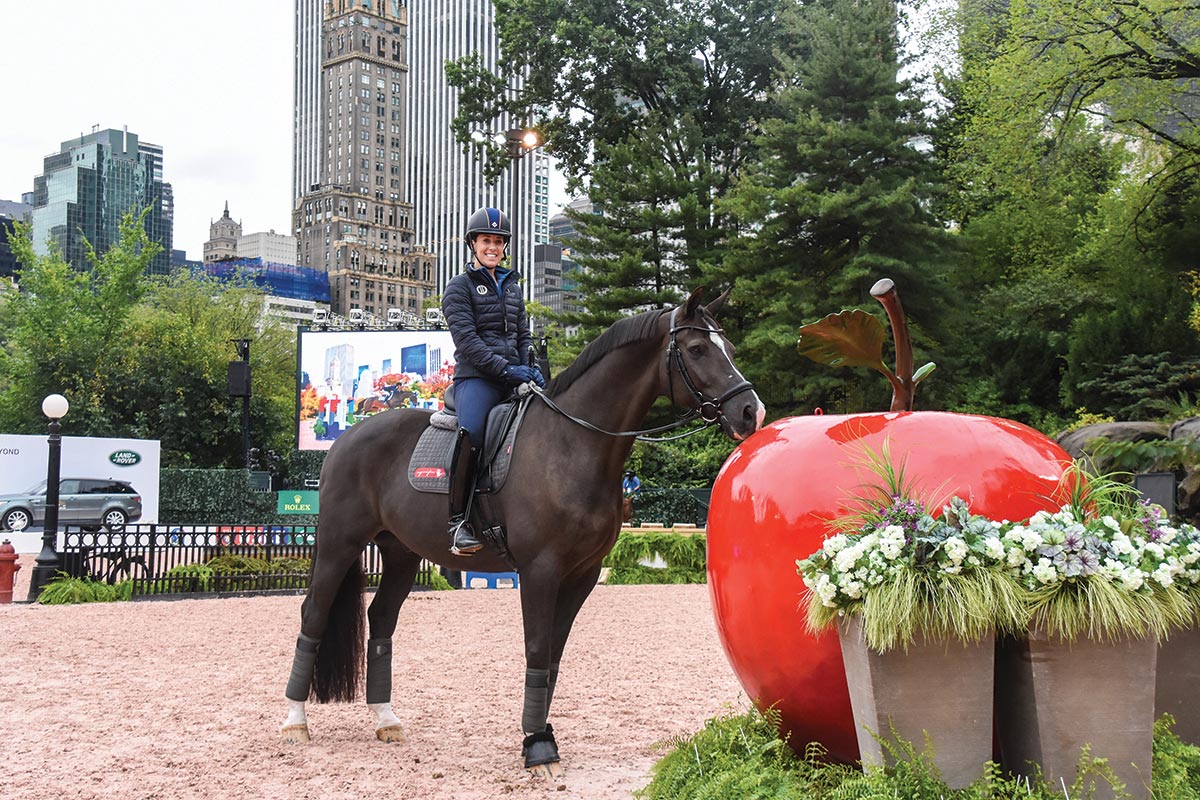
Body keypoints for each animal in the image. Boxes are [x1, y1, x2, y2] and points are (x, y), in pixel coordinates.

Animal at [280, 287, 763, 777]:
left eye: (730, 348)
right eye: (697, 349)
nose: (751, 411)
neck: (574, 443)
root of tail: (347, 439)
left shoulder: (583, 574)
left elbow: (552, 657)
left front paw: (542, 735)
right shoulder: (540, 570)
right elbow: (535, 649)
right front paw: (538, 747)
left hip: (400, 554)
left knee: (380, 620)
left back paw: (386, 719)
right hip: (339, 545)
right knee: (313, 615)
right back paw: (296, 722)